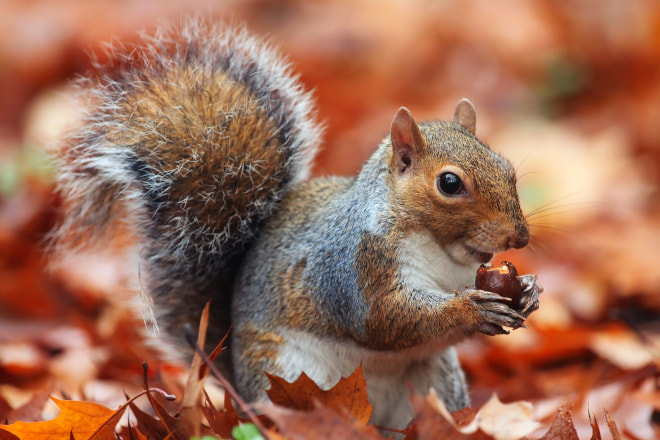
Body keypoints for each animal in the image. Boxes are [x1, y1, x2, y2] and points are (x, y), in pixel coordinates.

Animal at [53, 18, 541, 429]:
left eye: (506, 168)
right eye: (449, 183)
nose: (519, 237)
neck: (442, 252)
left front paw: (528, 292)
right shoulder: (351, 269)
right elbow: (385, 319)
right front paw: (470, 309)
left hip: (434, 382)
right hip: (287, 377)